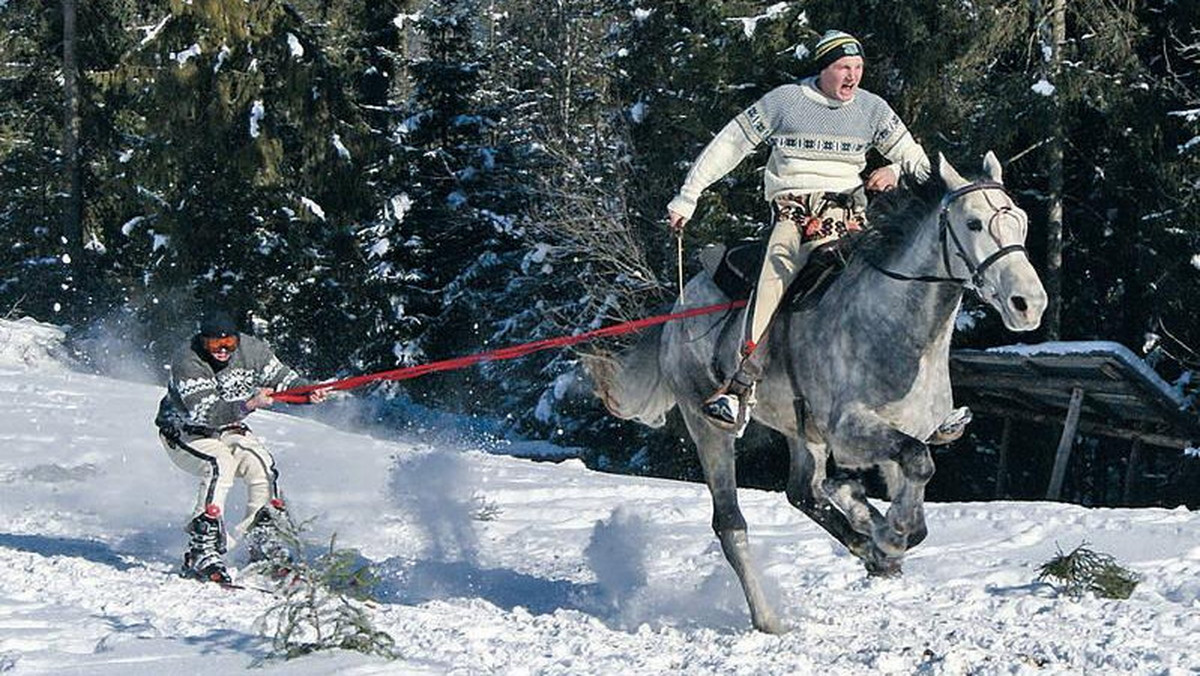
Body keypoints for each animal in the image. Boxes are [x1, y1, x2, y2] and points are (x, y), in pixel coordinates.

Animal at [585, 153, 1046, 633]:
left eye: (1022, 221)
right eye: (973, 223)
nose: (1028, 304)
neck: (897, 327)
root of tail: (679, 308)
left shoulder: (898, 434)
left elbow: (916, 494)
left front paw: (878, 533)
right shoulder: (850, 431)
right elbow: (916, 466)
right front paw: (884, 530)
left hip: (801, 431)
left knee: (803, 492)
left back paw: (862, 541)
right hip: (709, 427)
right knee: (731, 524)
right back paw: (769, 619)